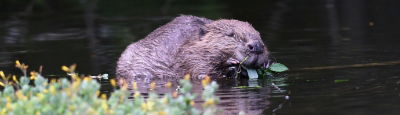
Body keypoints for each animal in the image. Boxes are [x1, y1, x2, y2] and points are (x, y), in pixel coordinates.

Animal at [116, 15, 272, 82]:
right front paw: (231, 65)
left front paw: (265, 64)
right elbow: (202, 72)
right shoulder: (188, 56)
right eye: (231, 35)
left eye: (258, 34)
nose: (257, 46)